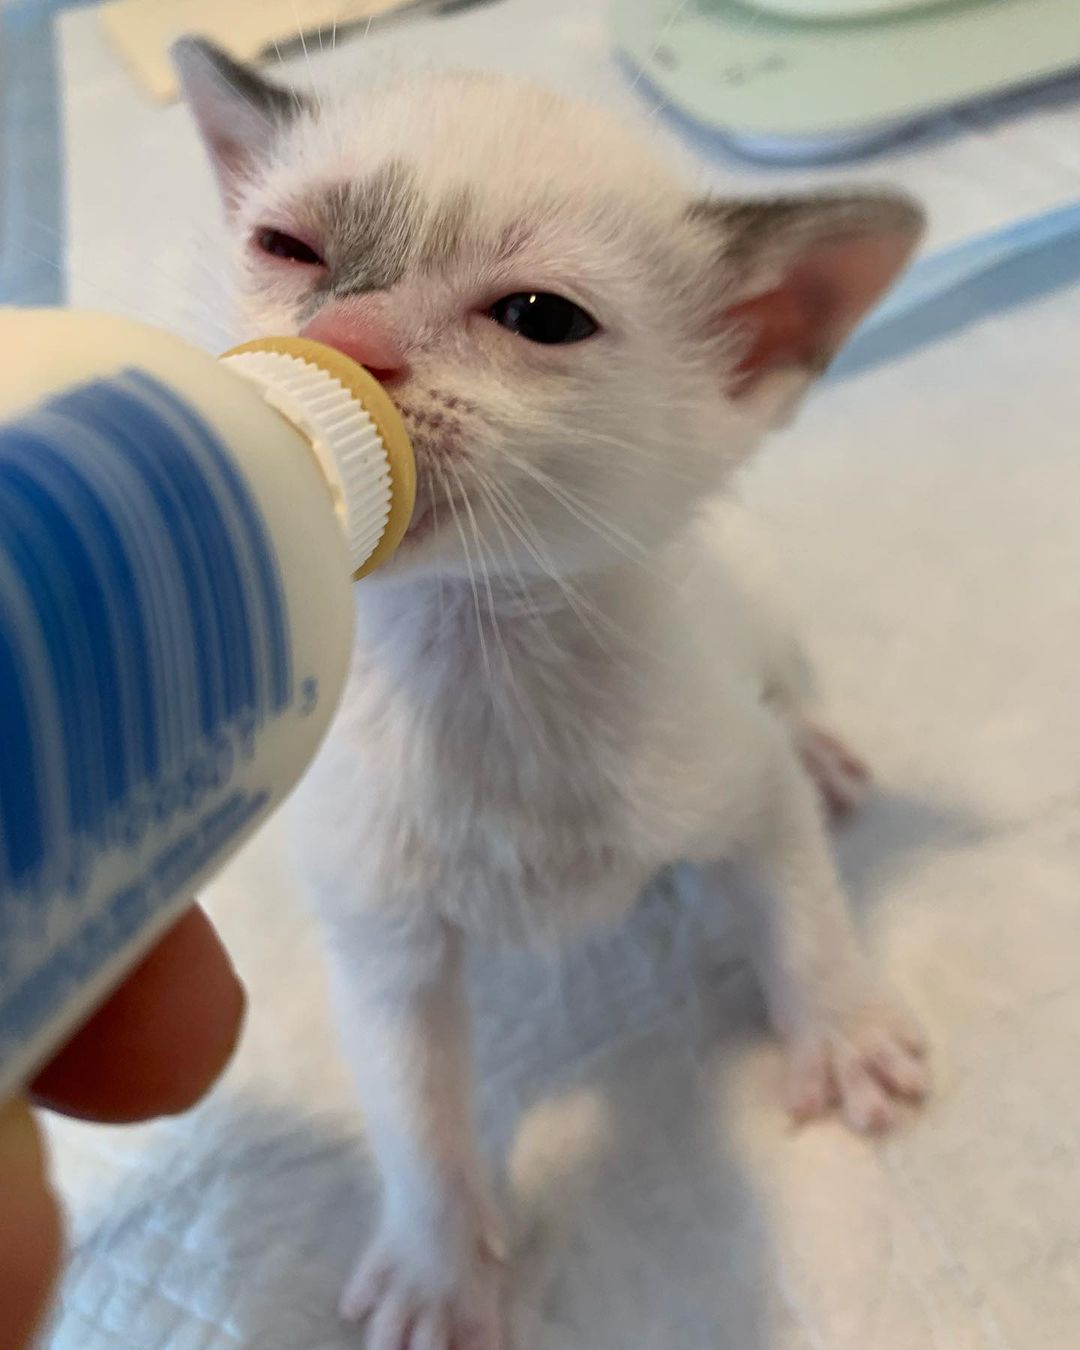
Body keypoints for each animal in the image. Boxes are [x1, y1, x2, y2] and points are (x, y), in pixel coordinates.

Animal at [176, 42, 928, 1350]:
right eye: (288, 248)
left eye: (538, 319)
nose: (349, 336)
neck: (484, 665)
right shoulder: (383, 938)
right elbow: (414, 1106)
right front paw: (439, 1264)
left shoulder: (737, 778)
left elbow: (800, 904)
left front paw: (840, 1032)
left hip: (758, 606)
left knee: (789, 698)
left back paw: (826, 753)